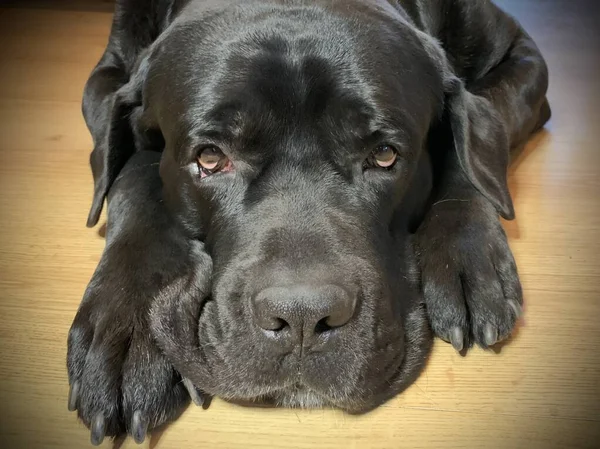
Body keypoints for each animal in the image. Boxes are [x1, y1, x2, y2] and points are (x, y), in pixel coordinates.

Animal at [65, 0, 548, 440]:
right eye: (210, 158)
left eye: (384, 155)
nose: (302, 318)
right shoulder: (106, 78)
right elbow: (130, 172)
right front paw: (127, 327)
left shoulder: (523, 57)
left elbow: (478, 139)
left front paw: (466, 253)